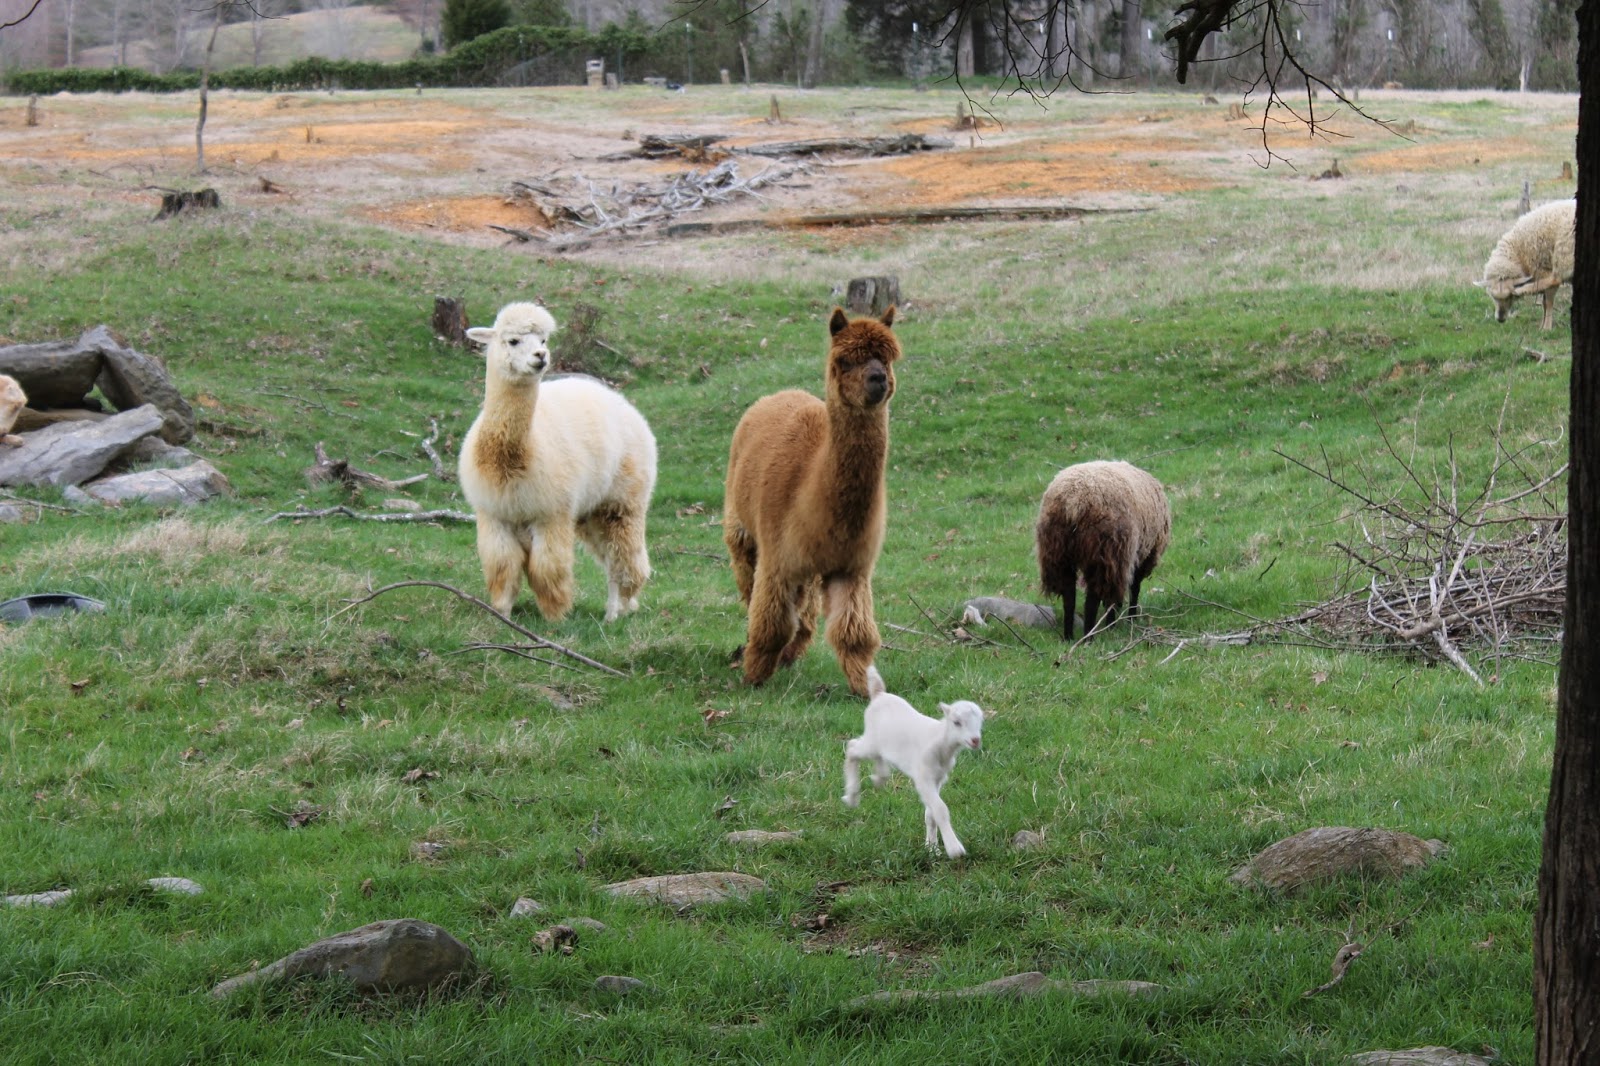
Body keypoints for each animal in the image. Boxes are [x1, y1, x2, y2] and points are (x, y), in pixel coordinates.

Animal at [458, 302, 657, 622]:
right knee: (608, 556)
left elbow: (547, 570)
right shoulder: (494, 514)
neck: (512, 460)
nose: (541, 356)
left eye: (543, 340)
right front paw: (502, 615)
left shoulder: (551, 513)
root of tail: (622, 402)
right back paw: (621, 608)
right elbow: (503, 568)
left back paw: (614, 613)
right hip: (589, 511)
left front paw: (555, 617)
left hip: (623, 500)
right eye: (512, 340)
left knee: (622, 558)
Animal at [723, 306, 901, 697]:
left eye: (886, 358)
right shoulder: (778, 558)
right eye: (845, 361)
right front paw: (753, 676)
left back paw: (792, 653)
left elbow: (855, 634)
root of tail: (777, 394)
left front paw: (864, 686)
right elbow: (771, 625)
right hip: (741, 527)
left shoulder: (851, 567)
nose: (878, 379)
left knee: (804, 610)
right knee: (748, 585)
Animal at [842, 666, 984, 859]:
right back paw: (852, 795)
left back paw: (879, 778)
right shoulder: (923, 776)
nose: (975, 740)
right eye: (956, 722)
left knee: (876, 757)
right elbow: (940, 809)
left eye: (981, 721)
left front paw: (932, 848)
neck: (940, 740)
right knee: (852, 748)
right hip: (872, 740)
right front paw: (954, 849)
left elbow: (931, 813)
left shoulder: (938, 778)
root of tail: (879, 694)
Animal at [1036, 460, 1171, 641]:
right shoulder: (1139, 556)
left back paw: (1069, 636)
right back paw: (1089, 636)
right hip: (1104, 550)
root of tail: (1073, 501)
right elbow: (1133, 589)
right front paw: (1127, 620)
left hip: (1057, 552)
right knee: (1093, 599)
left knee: (1069, 595)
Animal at [1477, 198, 1576, 330]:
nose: (1500, 319)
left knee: (1556, 278)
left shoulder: (1543, 268)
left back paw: (1523, 289)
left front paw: (1546, 328)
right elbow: (1545, 301)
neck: (1519, 253)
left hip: (1564, 251)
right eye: (1492, 296)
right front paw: (1543, 325)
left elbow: (1548, 300)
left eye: (1510, 297)